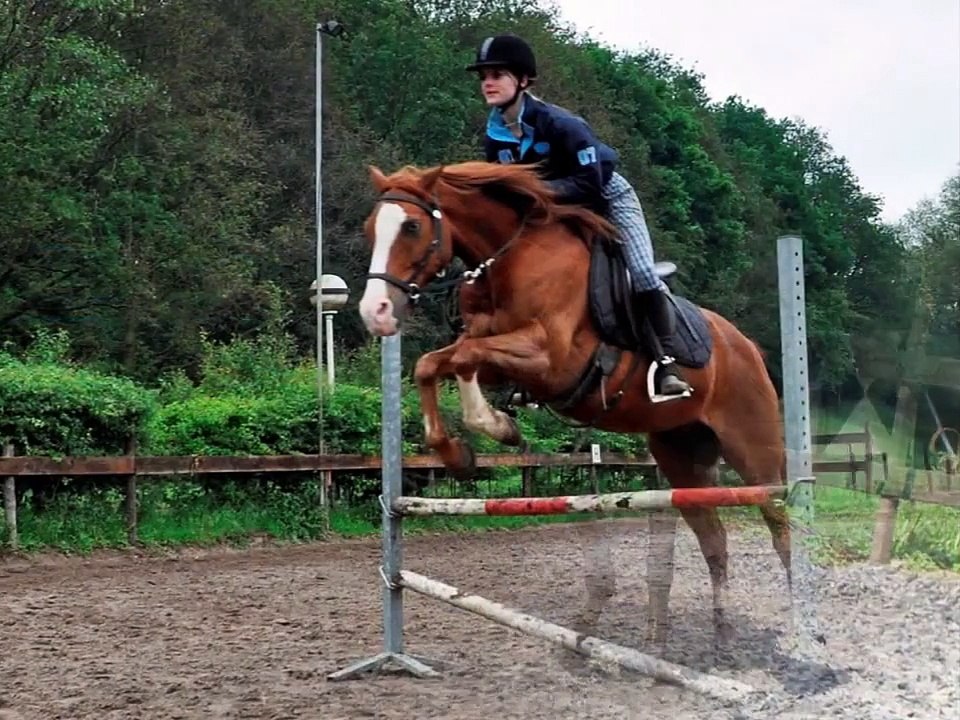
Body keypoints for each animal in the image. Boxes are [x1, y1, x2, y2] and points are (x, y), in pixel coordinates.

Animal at [355, 160, 791, 652]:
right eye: (371, 229)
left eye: (411, 226)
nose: (376, 312)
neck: (510, 259)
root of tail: (748, 347)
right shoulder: (499, 356)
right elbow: (434, 364)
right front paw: (462, 450)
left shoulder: (551, 360)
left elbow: (463, 357)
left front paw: (496, 427)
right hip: (681, 456)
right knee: (714, 539)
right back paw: (721, 634)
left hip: (755, 454)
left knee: (781, 528)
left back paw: (799, 621)